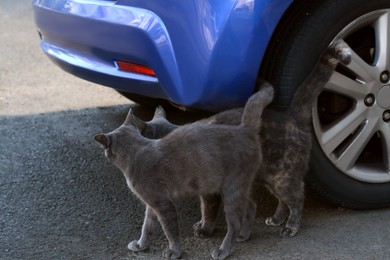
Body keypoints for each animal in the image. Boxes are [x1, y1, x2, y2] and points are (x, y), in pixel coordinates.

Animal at [93, 84, 274, 258]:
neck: (136, 150)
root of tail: (245, 129)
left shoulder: (163, 204)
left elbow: (170, 230)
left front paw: (174, 251)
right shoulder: (152, 203)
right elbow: (147, 226)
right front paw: (140, 245)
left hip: (231, 189)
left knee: (234, 222)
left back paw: (223, 250)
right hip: (239, 186)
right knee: (251, 206)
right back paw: (243, 235)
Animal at [139, 40, 352, 238]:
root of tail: (292, 115)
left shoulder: (210, 191)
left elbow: (208, 211)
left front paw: (205, 229)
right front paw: (201, 225)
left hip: (282, 176)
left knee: (298, 197)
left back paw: (291, 227)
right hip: (269, 177)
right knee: (283, 201)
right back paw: (276, 219)